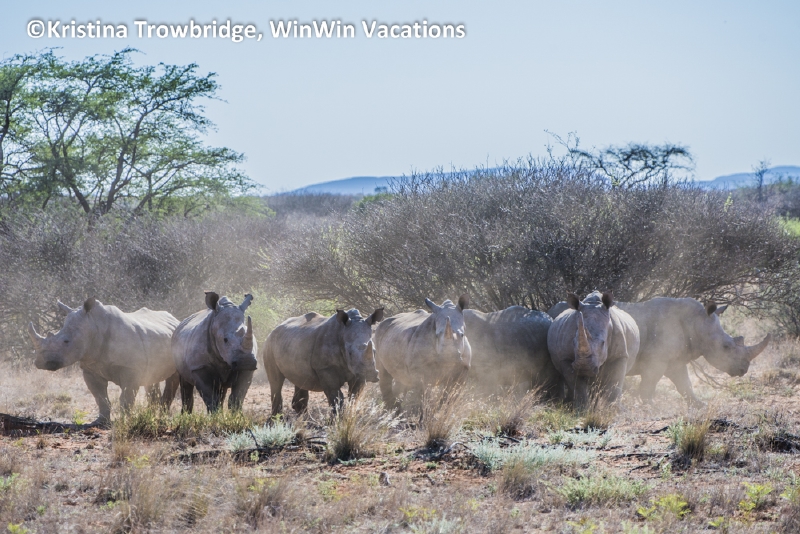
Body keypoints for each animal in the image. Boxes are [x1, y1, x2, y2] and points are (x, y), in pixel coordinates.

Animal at [28, 298, 180, 424]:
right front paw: (101, 421)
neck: (94, 327)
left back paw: (161, 417)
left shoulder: (130, 368)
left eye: (66, 341)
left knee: (172, 379)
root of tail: (175, 319)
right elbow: (100, 397)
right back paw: (152, 414)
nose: (40, 363)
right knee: (151, 378)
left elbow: (126, 398)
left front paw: (124, 420)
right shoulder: (90, 367)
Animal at [614, 298, 771, 406]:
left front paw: (700, 405)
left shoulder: (675, 360)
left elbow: (685, 384)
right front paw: (651, 406)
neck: (696, 322)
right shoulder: (656, 360)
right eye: (726, 346)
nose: (744, 369)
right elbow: (649, 383)